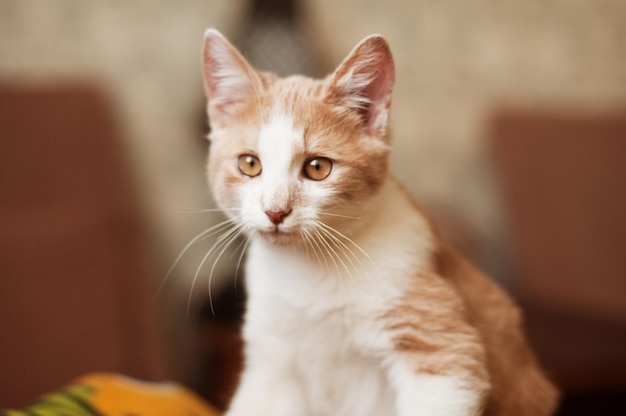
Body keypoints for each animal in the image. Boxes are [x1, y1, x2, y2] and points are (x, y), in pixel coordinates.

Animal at [199, 27, 556, 414]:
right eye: (249, 164)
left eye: (317, 167)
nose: (275, 210)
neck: (310, 270)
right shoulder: (271, 363)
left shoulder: (442, 350)